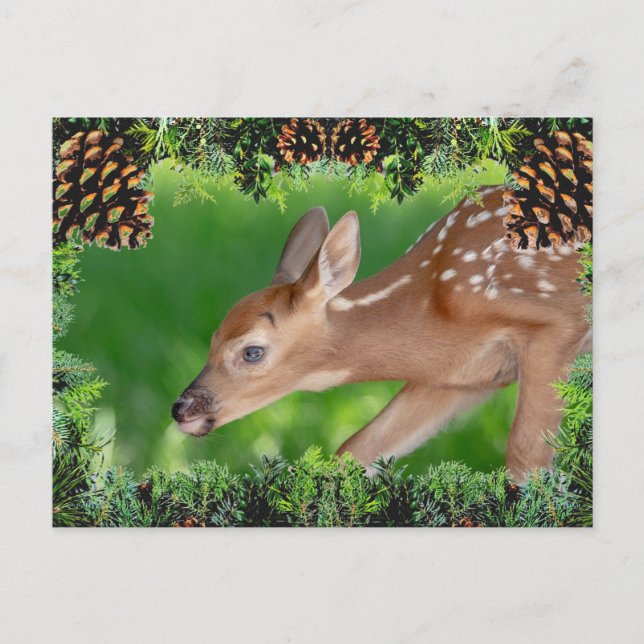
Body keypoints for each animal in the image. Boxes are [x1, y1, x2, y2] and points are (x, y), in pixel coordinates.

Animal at [171, 186, 591, 482]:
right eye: (212, 339)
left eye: (252, 352)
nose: (181, 408)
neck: (436, 304)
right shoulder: (466, 375)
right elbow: (357, 447)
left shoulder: (559, 323)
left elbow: (526, 455)